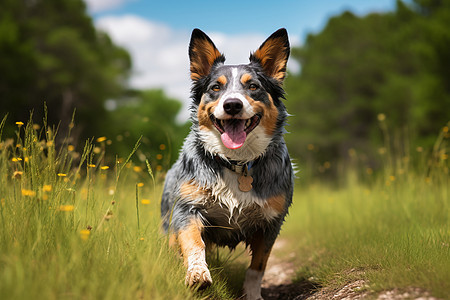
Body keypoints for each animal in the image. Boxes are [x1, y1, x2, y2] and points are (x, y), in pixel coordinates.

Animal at [162, 28, 296, 300]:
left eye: (253, 86)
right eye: (216, 87)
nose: (232, 104)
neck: (236, 162)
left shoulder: (271, 223)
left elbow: (258, 266)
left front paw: (253, 295)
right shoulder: (187, 209)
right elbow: (194, 242)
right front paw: (197, 274)